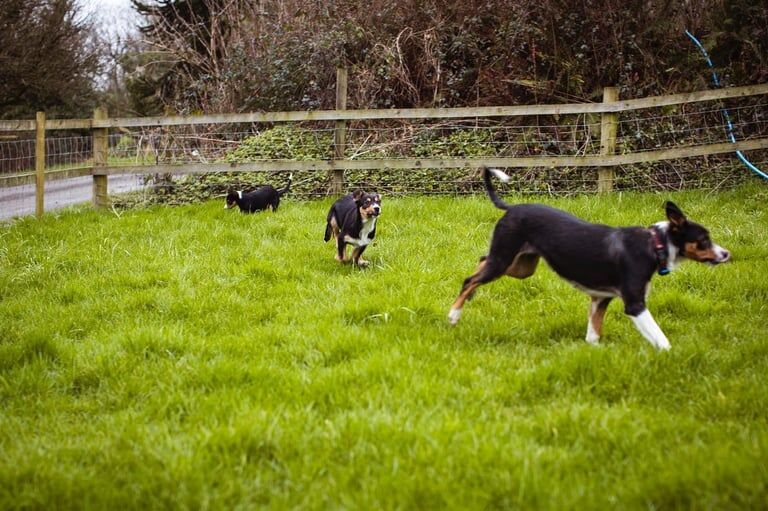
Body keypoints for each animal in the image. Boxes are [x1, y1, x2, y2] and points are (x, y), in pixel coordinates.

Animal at [450, 166, 732, 350]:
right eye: (704, 239)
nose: (726, 254)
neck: (654, 244)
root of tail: (511, 207)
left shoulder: (600, 298)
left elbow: (593, 334)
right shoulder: (634, 304)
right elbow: (661, 339)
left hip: (520, 265)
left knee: (480, 261)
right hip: (505, 260)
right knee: (469, 280)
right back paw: (453, 315)